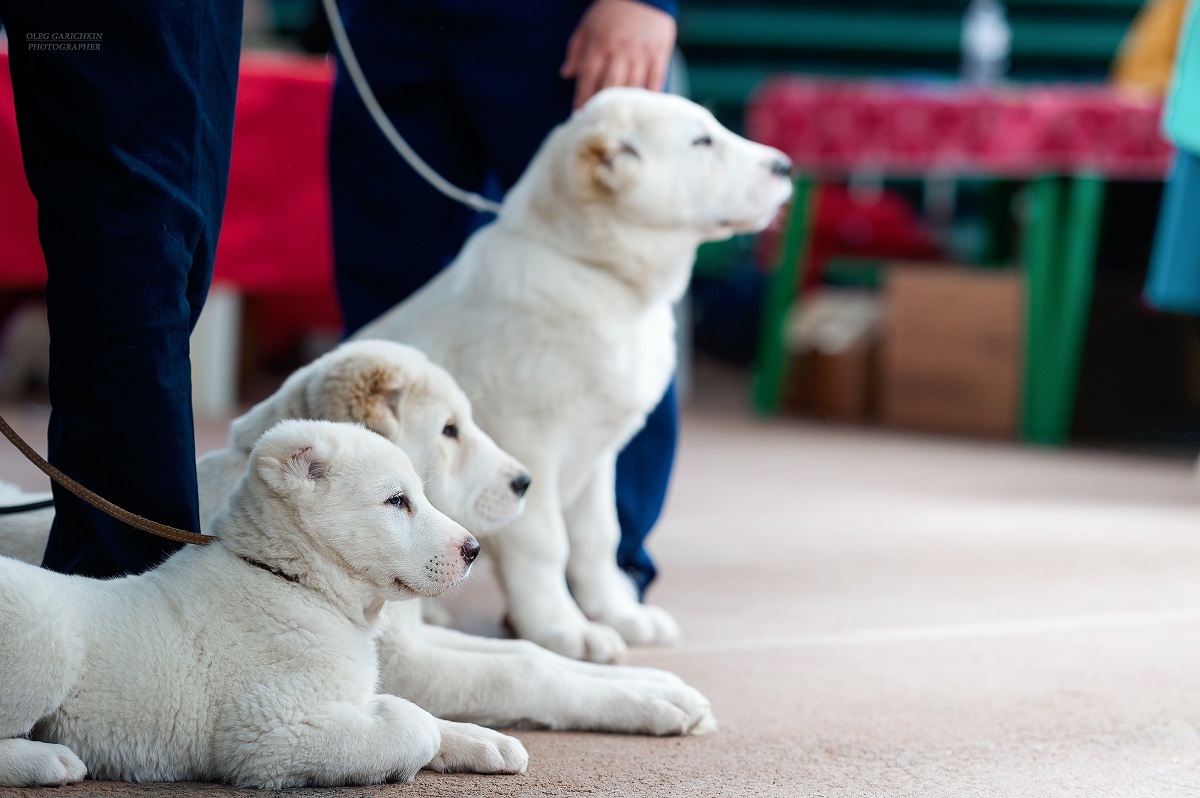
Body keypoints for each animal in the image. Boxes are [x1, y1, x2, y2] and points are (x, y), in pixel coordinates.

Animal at [0, 420, 525, 787]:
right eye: (397, 501)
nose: (475, 549)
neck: (294, 582)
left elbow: (432, 721)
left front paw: (488, 741)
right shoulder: (272, 734)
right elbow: (413, 723)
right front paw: (407, 722)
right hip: (44, 638)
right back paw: (48, 760)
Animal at [350, 87, 792, 662]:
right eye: (702, 142)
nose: (786, 166)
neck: (594, 273)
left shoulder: (598, 452)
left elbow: (598, 537)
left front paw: (616, 612)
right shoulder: (530, 447)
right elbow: (546, 542)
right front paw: (560, 626)